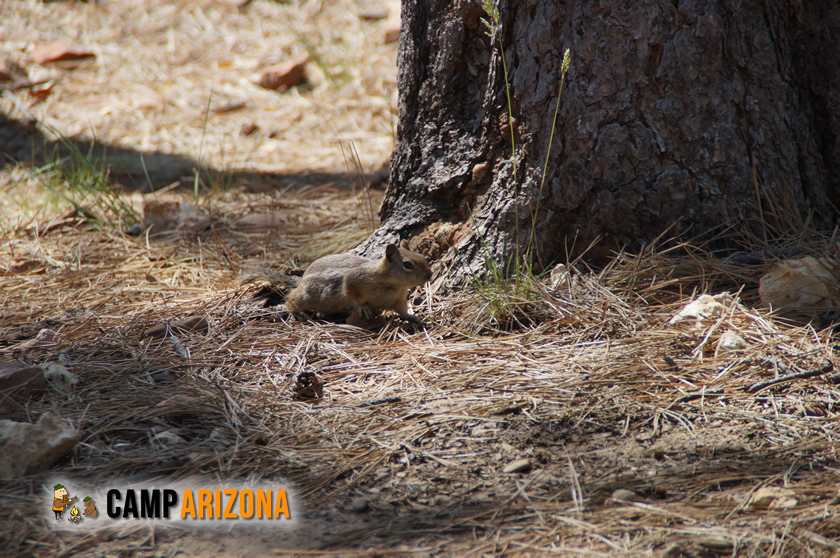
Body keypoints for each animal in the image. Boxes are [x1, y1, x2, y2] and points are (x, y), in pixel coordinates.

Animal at [240, 241, 430, 324]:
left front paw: (413, 317)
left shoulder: (398, 299)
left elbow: (403, 310)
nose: (429, 275)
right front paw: (363, 307)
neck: (393, 285)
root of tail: (301, 281)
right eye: (408, 265)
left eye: (423, 257)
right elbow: (350, 290)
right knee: (291, 299)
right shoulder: (357, 278)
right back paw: (297, 313)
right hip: (307, 295)